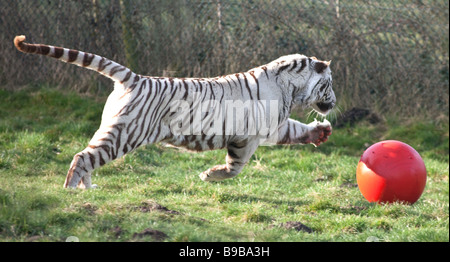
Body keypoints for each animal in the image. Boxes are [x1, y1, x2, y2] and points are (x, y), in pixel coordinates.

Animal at [14, 35, 334, 189]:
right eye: (330, 84)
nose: (333, 102)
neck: (290, 87)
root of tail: (135, 78)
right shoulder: (250, 137)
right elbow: (234, 168)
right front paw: (209, 175)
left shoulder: (277, 127)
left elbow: (296, 130)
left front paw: (320, 132)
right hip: (123, 135)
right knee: (84, 156)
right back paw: (70, 191)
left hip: (113, 132)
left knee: (88, 156)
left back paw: (86, 189)